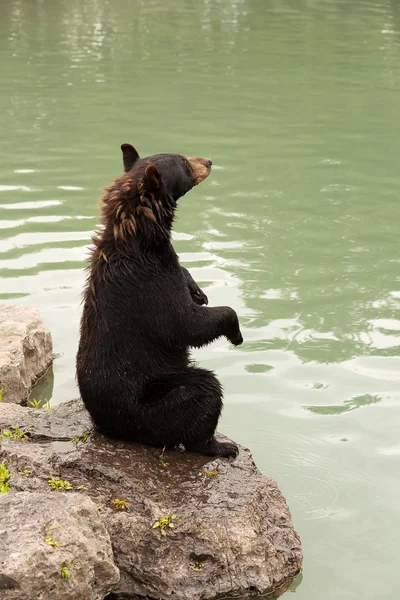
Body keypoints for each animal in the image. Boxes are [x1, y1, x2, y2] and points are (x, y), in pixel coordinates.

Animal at [76, 143, 242, 458]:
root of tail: (108, 427)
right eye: (184, 163)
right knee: (204, 392)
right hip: (153, 405)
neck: (138, 232)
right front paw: (235, 331)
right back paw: (221, 446)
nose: (209, 160)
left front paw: (198, 291)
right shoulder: (151, 282)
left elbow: (184, 278)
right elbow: (183, 322)